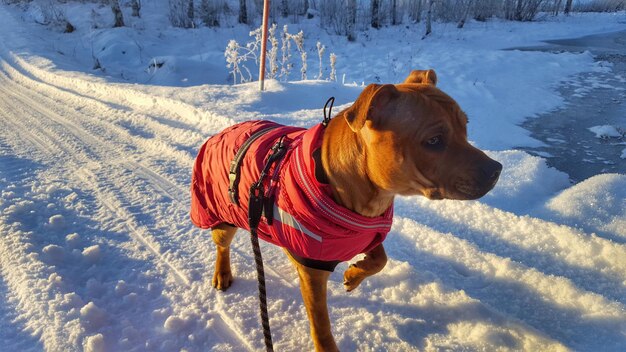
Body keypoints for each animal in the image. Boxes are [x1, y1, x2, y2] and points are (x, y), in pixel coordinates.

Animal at [207, 69, 500, 352]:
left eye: (465, 127)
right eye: (434, 140)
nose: (496, 169)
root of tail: (226, 130)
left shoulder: (368, 230)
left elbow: (380, 259)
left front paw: (354, 274)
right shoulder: (314, 272)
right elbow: (320, 322)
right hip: (223, 219)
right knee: (222, 246)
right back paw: (222, 273)